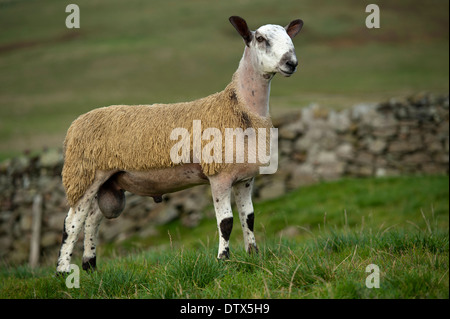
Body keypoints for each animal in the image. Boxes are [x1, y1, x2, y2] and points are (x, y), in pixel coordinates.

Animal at [56, 15, 302, 276]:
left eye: (289, 37)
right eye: (261, 39)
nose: (291, 63)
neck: (241, 109)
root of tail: (75, 124)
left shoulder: (245, 178)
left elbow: (249, 218)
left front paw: (253, 256)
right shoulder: (219, 175)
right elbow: (226, 223)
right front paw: (223, 260)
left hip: (107, 182)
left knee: (92, 221)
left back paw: (90, 267)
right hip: (84, 174)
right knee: (72, 222)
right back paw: (63, 271)